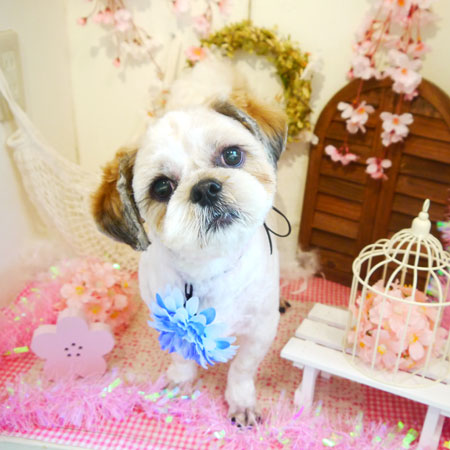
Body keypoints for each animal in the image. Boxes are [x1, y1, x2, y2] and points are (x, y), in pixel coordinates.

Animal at [92, 61, 287, 426]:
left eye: (232, 155)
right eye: (161, 187)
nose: (205, 188)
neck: (210, 267)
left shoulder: (261, 329)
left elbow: (242, 369)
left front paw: (241, 401)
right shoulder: (163, 319)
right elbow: (181, 358)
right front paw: (181, 382)